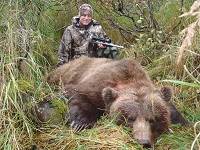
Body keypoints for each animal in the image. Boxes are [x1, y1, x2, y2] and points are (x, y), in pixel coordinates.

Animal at [46, 56, 188, 148]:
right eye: (130, 118)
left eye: (152, 119)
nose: (143, 142)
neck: (127, 79)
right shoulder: (97, 84)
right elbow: (79, 94)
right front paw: (79, 123)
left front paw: (184, 122)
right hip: (66, 71)